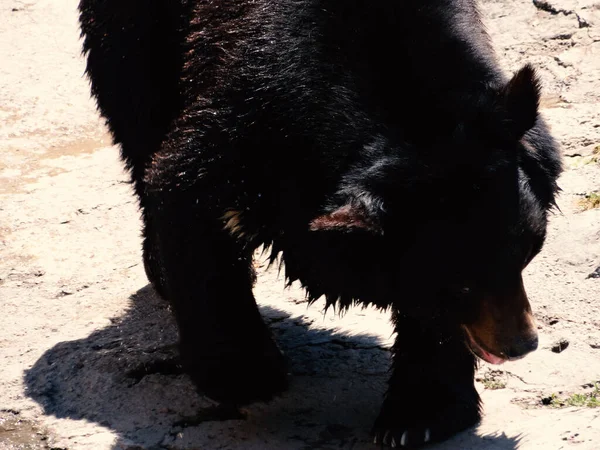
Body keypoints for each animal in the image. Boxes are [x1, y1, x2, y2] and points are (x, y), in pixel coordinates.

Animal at [77, 0, 560, 446]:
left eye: (526, 254)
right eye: (457, 283)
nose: (520, 344)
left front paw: (417, 418)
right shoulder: (249, 113)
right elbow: (186, 194)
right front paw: (249, 377)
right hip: (133, 36)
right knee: (139, 124)